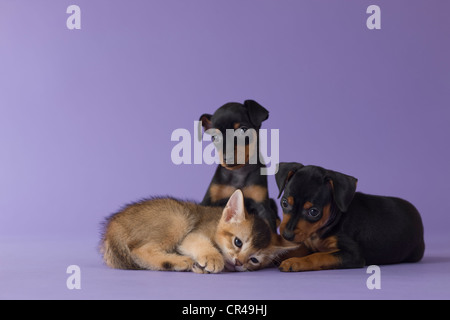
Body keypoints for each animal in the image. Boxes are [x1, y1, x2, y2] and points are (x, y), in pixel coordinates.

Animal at [100, 189, 296, 274]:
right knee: (140, 251)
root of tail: (114, 226)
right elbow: (201, 244)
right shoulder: (192, 234)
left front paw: (201, 267)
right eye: (238, 242)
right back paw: (182, 261)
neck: (216, 223)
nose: (239, 262)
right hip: (178, 217)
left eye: (254, 260)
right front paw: (213, 258)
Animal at [200, 100, 278, 232]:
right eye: (214, 137)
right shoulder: (209, 201)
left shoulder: (263, 208)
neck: (239, 173)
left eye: (243, 130)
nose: (227, 157)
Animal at [274, 161, 426, 272]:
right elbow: (292, 250)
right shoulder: (307, 243)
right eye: (284, 203)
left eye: (313, 212)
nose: (287, 235)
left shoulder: (353, 255)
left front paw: (295, 262)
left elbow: (318, 256)